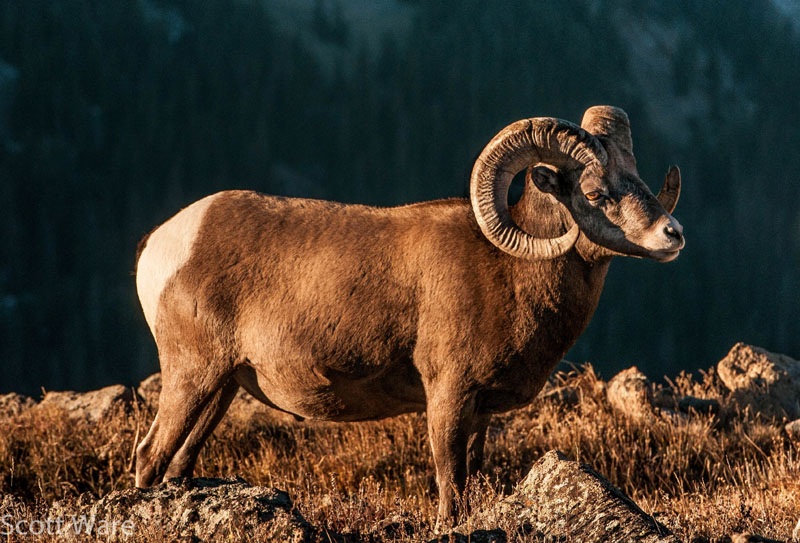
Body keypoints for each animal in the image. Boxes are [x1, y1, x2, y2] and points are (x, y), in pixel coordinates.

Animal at [133, 105, 684, 526]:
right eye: (594, 194)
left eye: (637, 179)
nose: (672, 235)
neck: (509, 271)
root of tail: (162, 243)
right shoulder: (448, 397)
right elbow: (450, 484)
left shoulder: (480, 414)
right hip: (191, 374)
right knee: (150, 455)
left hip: (222, 386)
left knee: (179, 462)